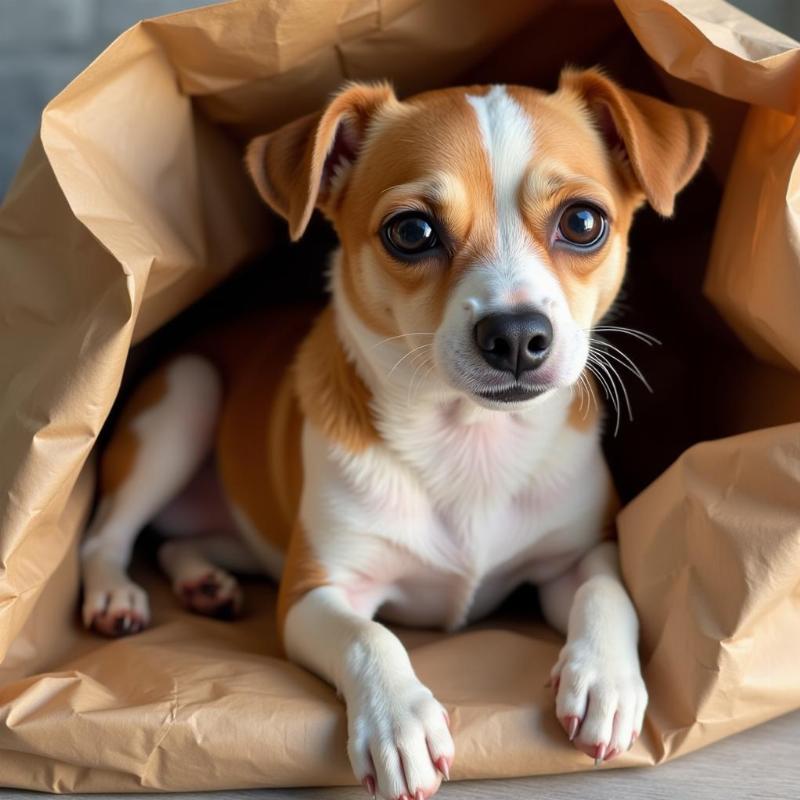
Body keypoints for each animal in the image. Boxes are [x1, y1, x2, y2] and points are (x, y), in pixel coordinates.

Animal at [81, 70, 708, 800]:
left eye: (583, 222)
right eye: (411, 231)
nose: (517, 334)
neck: (471, 441)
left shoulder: (577, 554)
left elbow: (606, 592)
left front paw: (606, 679)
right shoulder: (313, 592)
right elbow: (369, 638)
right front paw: (399, 723)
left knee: (184, 541)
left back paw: (204, 581)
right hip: (187, 395)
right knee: (108, 535)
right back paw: (115, 595)